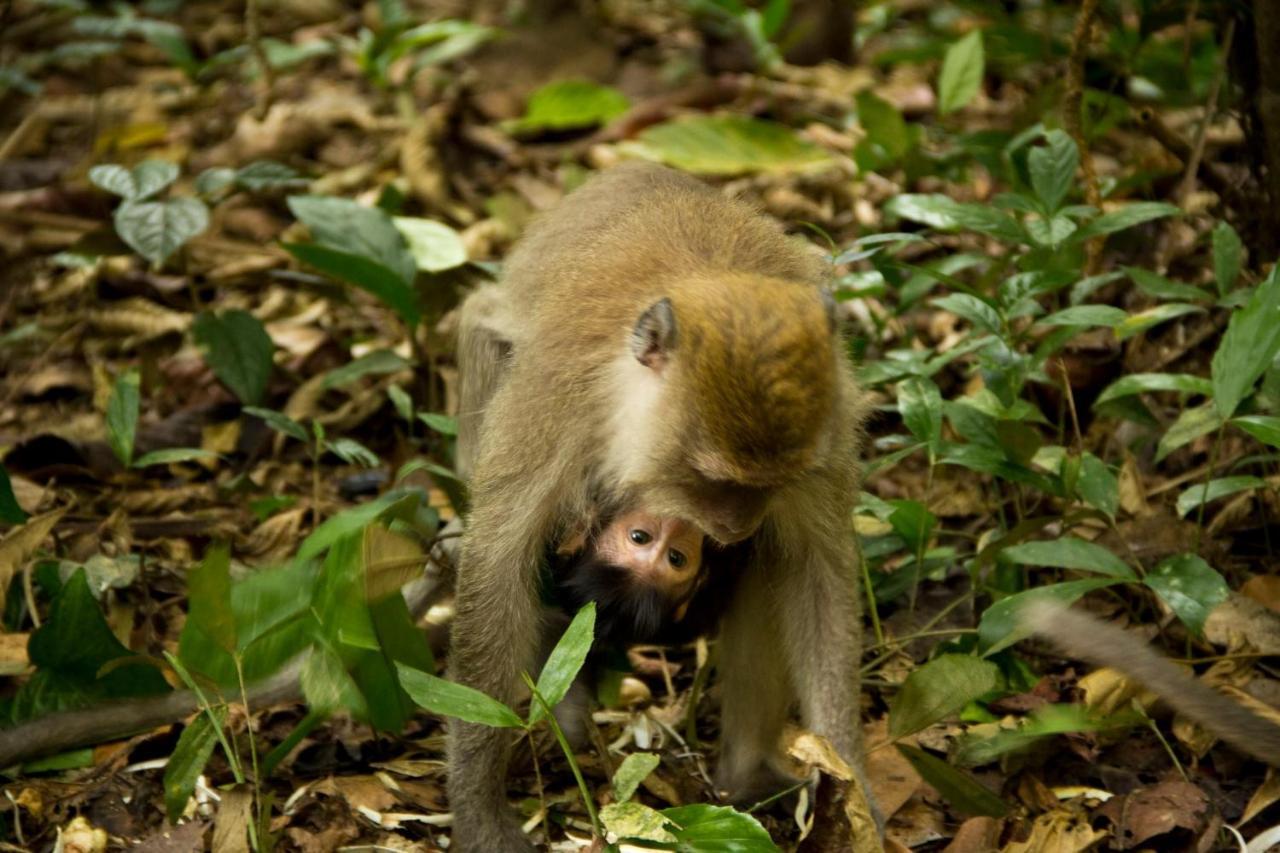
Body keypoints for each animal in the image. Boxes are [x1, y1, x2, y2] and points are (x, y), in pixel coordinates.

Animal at [450, 159, 870, 845]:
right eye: (711, 479)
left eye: (767, 484)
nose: (734, 524)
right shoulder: (556, 401)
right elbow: (498, 565)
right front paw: (478, 811)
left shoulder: (825, 431)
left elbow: (817, 575)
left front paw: (855, 792)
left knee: (769, 562)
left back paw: (747, 772)